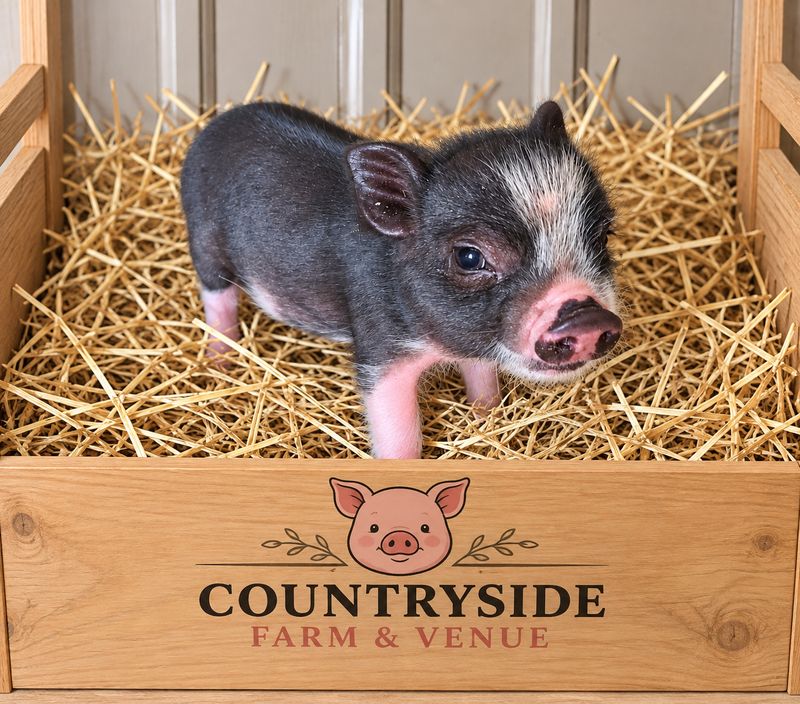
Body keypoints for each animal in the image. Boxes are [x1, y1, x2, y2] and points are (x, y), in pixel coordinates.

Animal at [180, 100, 621, 459]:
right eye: (469, 256)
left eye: (601, 236)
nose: (587, 316)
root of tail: (216, 124)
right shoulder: (380, 343)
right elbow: (398, 429)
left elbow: (482, 379)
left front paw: (485, 418)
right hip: (203, 240)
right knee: (216, 298)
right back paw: (221, 358)